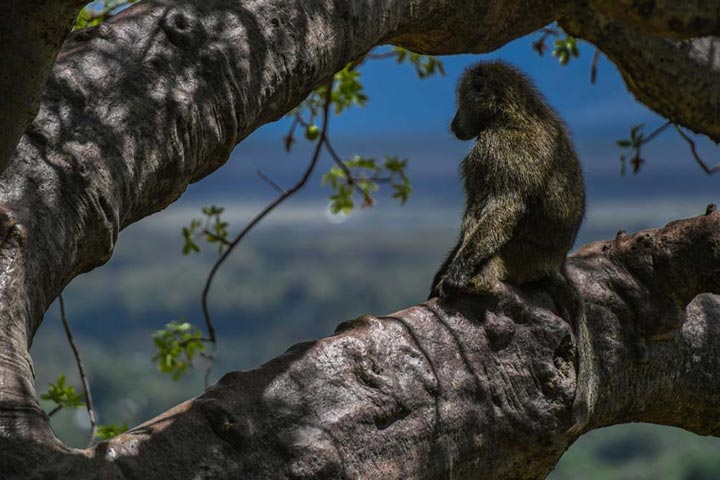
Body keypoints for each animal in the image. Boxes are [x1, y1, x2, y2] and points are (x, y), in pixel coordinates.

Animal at [429, 61, 594, 435]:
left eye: (462, 100)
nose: (452, 123)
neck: (510, 114)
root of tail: (555, 263)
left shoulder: (493, 149)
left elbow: (503, 206)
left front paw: (458, 273)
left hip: (520, 258)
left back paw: (478, 283)